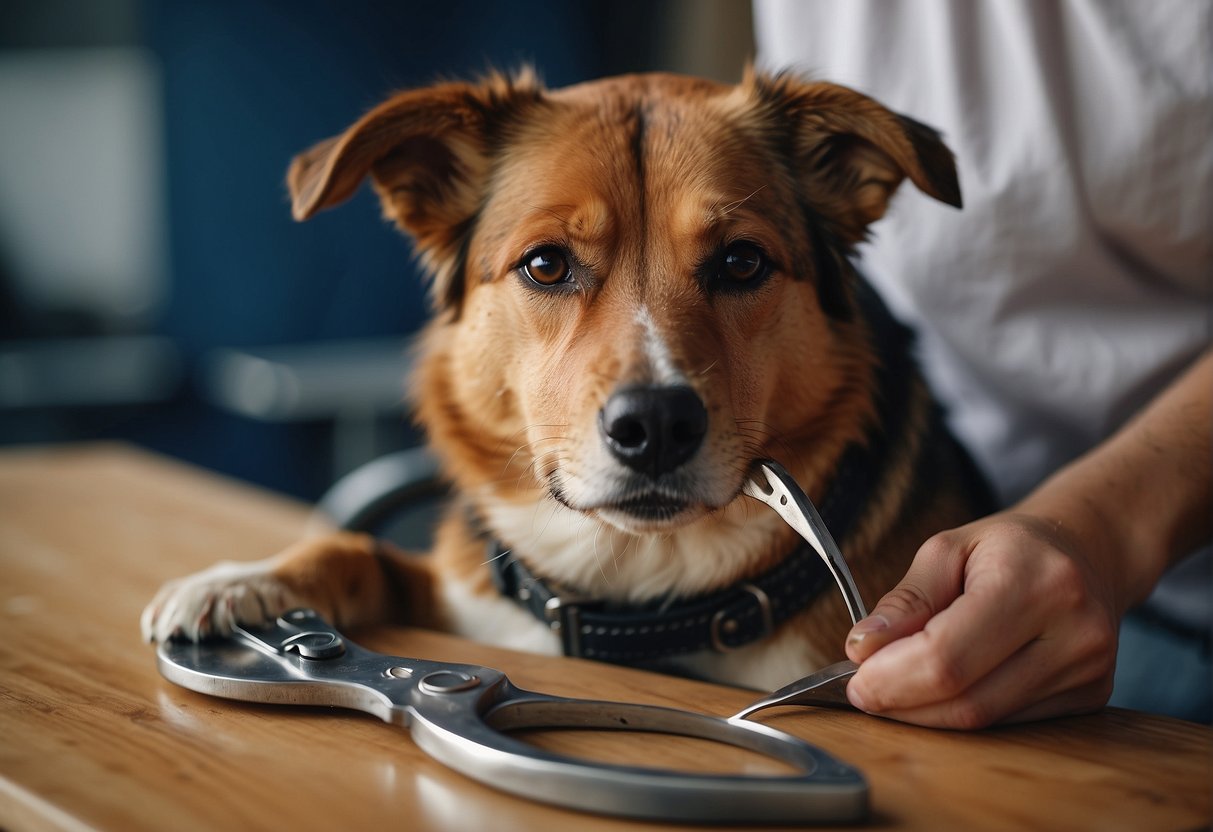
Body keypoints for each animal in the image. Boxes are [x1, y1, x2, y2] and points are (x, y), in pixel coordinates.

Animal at [141, 68, 994, 688]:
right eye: (546, 264)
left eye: (742, 261)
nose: (656, 428)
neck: (637, 587)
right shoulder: (464, 597)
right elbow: (353, 549)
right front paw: (241, 582)